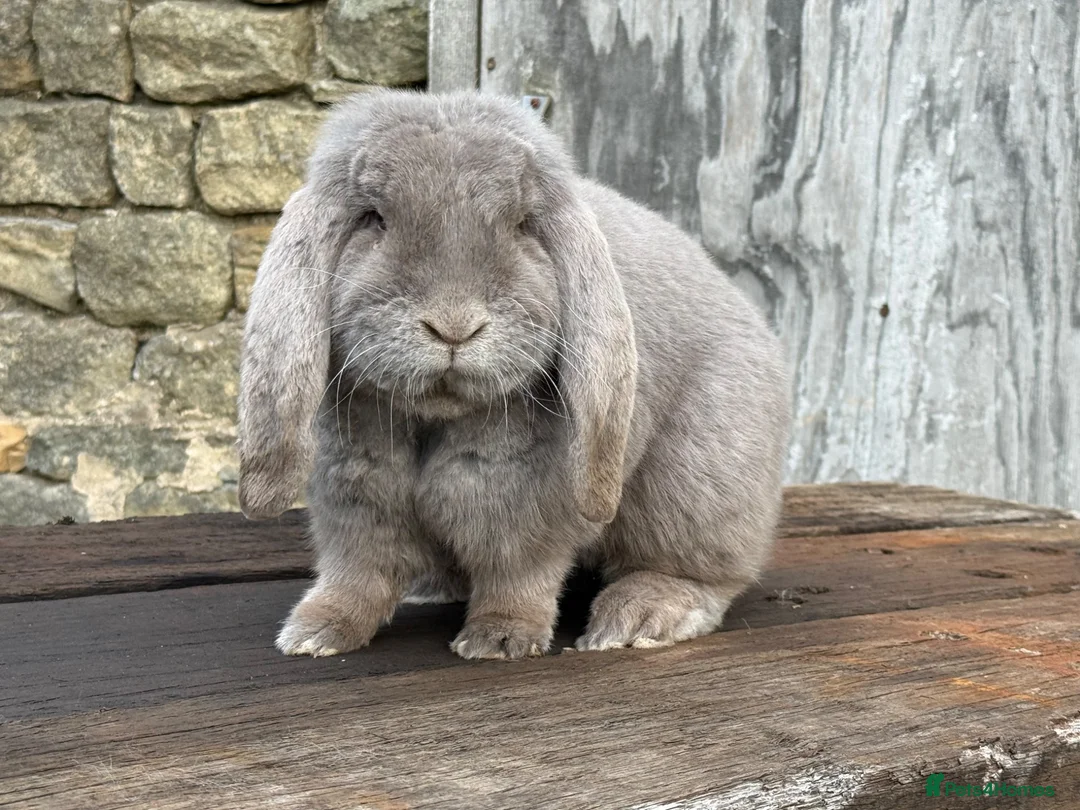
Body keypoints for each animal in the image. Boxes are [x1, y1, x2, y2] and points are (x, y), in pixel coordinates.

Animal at [237, 89, 790, 660]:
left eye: (523, 223)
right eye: (372, 218)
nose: (454, 325)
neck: (435, 420)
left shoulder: (526, 506)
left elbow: (519, 571)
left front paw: (499, 639)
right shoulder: (356, 494)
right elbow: (357, 572)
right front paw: (316, 633)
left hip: (696, 486)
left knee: (705, 573)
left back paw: (639, 617)